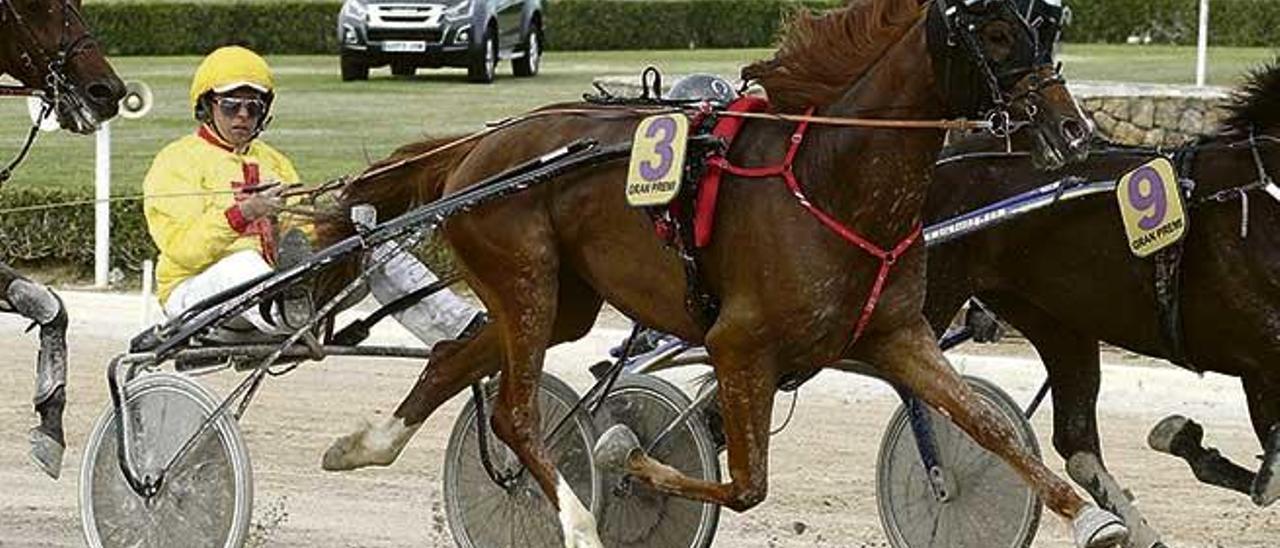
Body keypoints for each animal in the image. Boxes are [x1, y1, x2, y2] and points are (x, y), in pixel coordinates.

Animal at [322, 0, 1131, 545]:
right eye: (994, 34)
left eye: (1044, 29)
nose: (1073, 130)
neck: (831, 180)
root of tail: (476, 149)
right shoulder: (739, 346)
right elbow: (746, 485)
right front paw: (622, 456)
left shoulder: (896, 333)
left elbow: (987, 425)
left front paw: (1091, 515)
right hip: (525, 277)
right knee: (514, 414)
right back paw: (578, 521)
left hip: (562, 302)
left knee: (451, 357)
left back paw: (364, 444)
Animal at [926, 59, 1280, 548]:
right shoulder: (1260, 356)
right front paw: (1191, 442)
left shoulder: (1259, 369)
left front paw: (1188, 442)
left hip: (1058, 322)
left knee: (1075, 442)